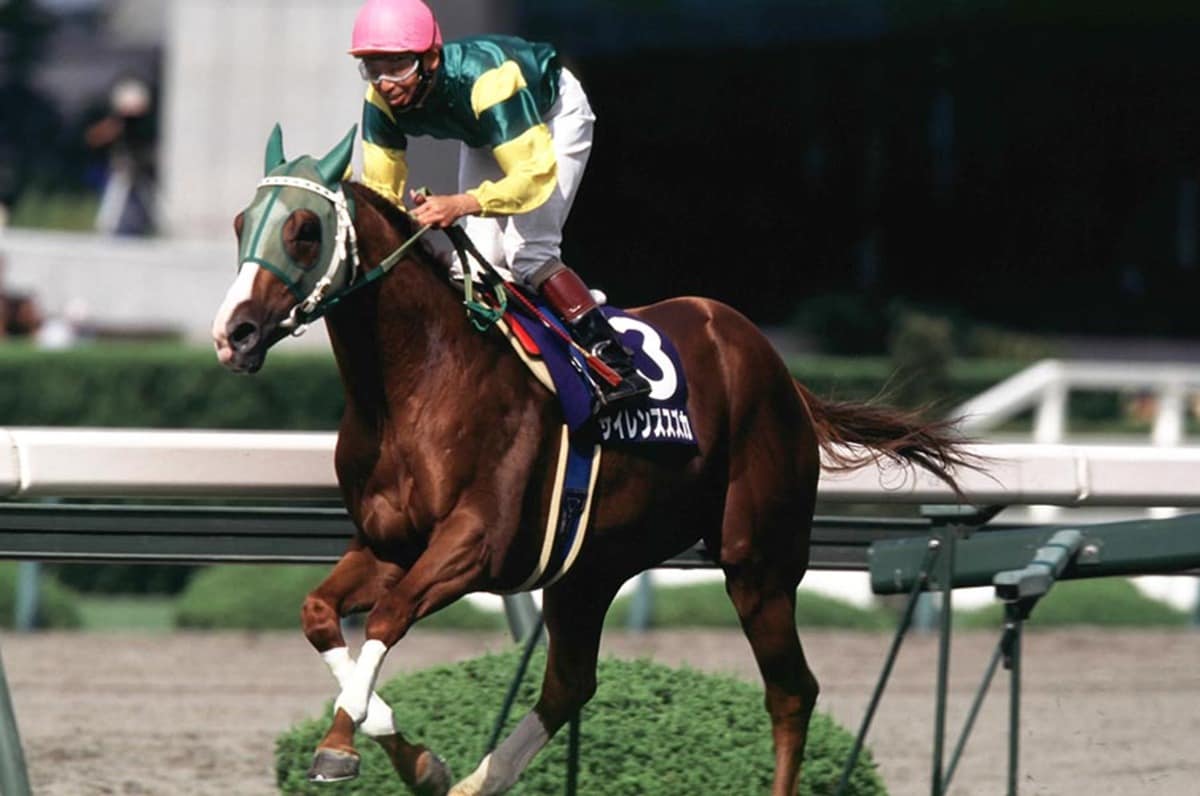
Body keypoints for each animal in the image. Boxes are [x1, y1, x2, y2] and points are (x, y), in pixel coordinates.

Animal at [212, 126, 971, 796]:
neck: (416, 384)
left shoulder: (474, 544)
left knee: (791, 692)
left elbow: (389, 618)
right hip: (591, 567)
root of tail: (776, 365)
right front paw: (416, 761)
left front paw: (341, 749)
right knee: (572, 682)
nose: (233, 334)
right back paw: (478, 782)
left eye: (304, 230)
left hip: (759, 560)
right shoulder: (388, 544)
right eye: (242, 222)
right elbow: (318, 613)